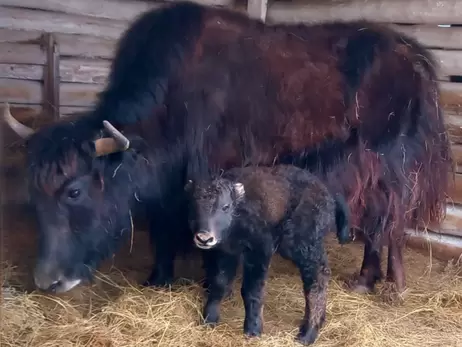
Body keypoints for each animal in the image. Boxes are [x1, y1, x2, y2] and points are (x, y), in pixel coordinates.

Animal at [186, 165, 348, 346]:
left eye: (225, 206)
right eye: (194, 205)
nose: (204, 238)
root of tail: (327, 193)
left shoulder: (260, 251)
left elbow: (252, 290)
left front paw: (253, 329)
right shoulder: (225, 253)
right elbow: (219, 283)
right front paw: (209, 319)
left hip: (303, 245)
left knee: (317, 279)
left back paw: (307, 333)